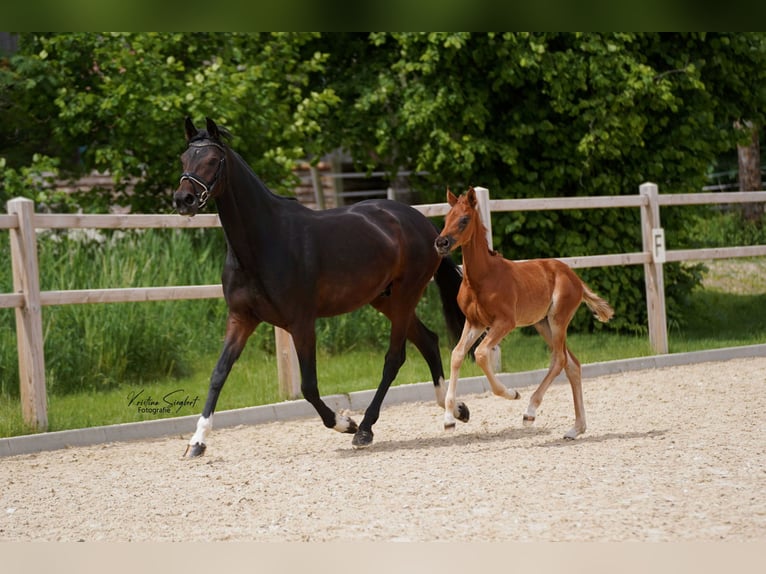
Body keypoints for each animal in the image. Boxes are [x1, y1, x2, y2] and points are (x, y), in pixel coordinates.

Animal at [177, 118, 472, 460]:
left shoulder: (301, 323)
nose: (182, 199)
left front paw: (345, 423)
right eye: (184, 159)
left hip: (405, 296)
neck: (263, 241)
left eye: (212, 160)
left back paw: (365, 429)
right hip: (385, 300)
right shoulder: (241, 318)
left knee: (394, 358)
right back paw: (455, 408)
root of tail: (424, 225)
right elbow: (218, 374)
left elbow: (309, 386)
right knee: (427, 341)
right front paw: (197, 442)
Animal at [436, 187, 616, 438]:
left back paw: (530, 411)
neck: (482, 277)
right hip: (543, 323)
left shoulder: (505, 322)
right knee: (572, 364)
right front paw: (449, 419)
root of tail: (575, 278)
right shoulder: (474, 322)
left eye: (464, 219)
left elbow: (481, 353)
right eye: (446, 219)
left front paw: (512, 393)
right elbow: (457, 355)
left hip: (558, 320)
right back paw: (576, 429)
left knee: (559, 359)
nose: (441, 242)